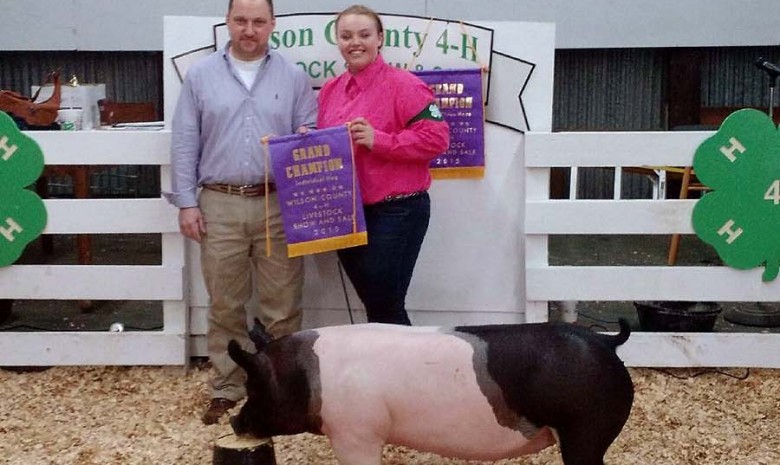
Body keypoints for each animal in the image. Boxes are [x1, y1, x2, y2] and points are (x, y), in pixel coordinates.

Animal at [225, 318, 632, 464]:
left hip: (586, 430)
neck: (308, 377)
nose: (233, 422)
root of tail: (606, 341)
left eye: (252, 383)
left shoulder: (355, 432)